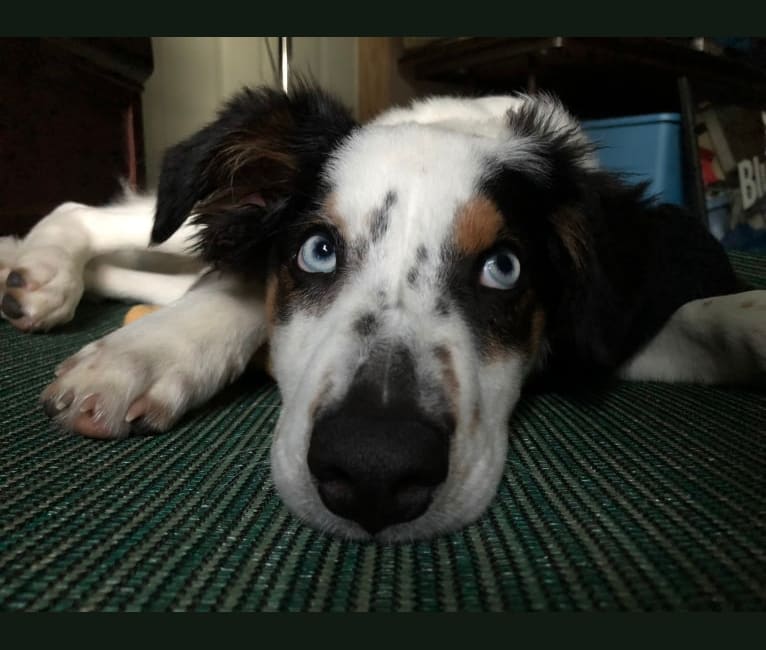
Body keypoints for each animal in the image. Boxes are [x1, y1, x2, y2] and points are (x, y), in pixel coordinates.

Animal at [1, 85, 766, 540]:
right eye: (316, 251)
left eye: (504, 268)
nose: (373, 473)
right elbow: (237, 290)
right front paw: (139, 357)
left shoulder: (607, 329)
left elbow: (707, 315)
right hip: (183, 217)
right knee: (96, 214)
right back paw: (38, 270)